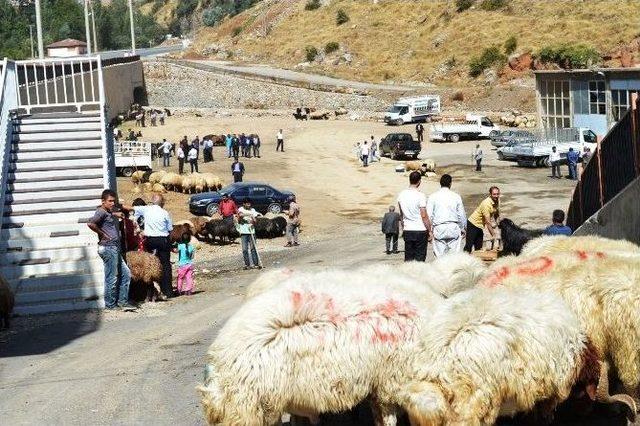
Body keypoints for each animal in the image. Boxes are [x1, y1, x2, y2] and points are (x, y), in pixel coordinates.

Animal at [400, 286, 636, 426]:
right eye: (590, 388)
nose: (586, 413)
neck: (580, 351)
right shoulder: (551, 389)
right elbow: (544, 414)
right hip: (472, 405)